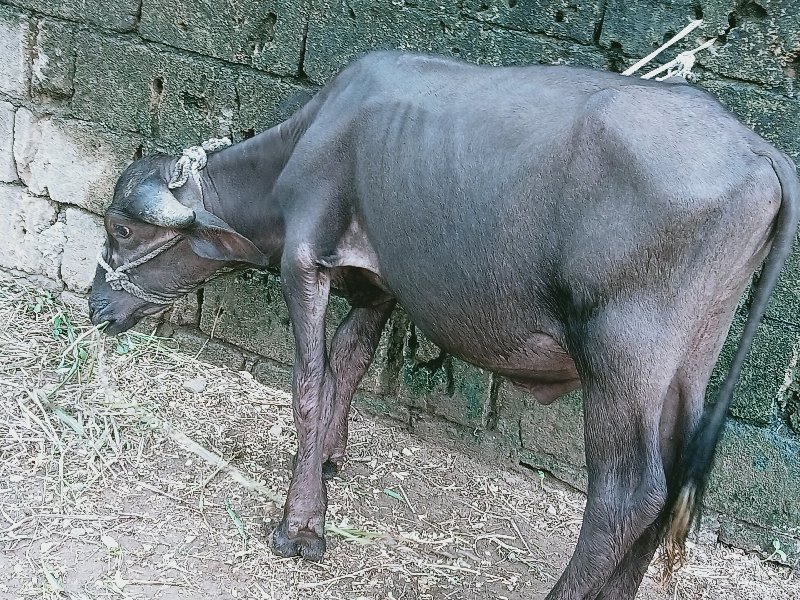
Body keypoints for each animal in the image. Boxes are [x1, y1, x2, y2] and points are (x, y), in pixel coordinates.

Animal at [89, 52, 800, 600]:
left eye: (121, 228)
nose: (96, 306)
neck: (313, 140)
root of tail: (762, 152)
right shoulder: (378, 284)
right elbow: (347, 365)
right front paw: (328, 460)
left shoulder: (305, 262)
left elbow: (310, 382)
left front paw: (301, 525)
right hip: (686, 368)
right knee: (665, 490)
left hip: (626, 360)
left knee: (628, 496)